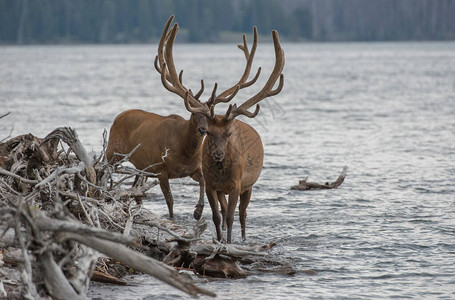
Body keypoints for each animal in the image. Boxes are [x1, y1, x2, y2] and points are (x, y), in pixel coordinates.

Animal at [158, 16, 284, 243]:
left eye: (228, 133)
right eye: (208, 132)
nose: (217, 154)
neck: (222, 173)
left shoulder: (236, 184)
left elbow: (233, 216)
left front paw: (230, 242)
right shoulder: (211, 186)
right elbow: (217, 216)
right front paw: (219, 239)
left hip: (249, 186)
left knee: (243, 214)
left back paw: (243, 238)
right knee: (225, 212)